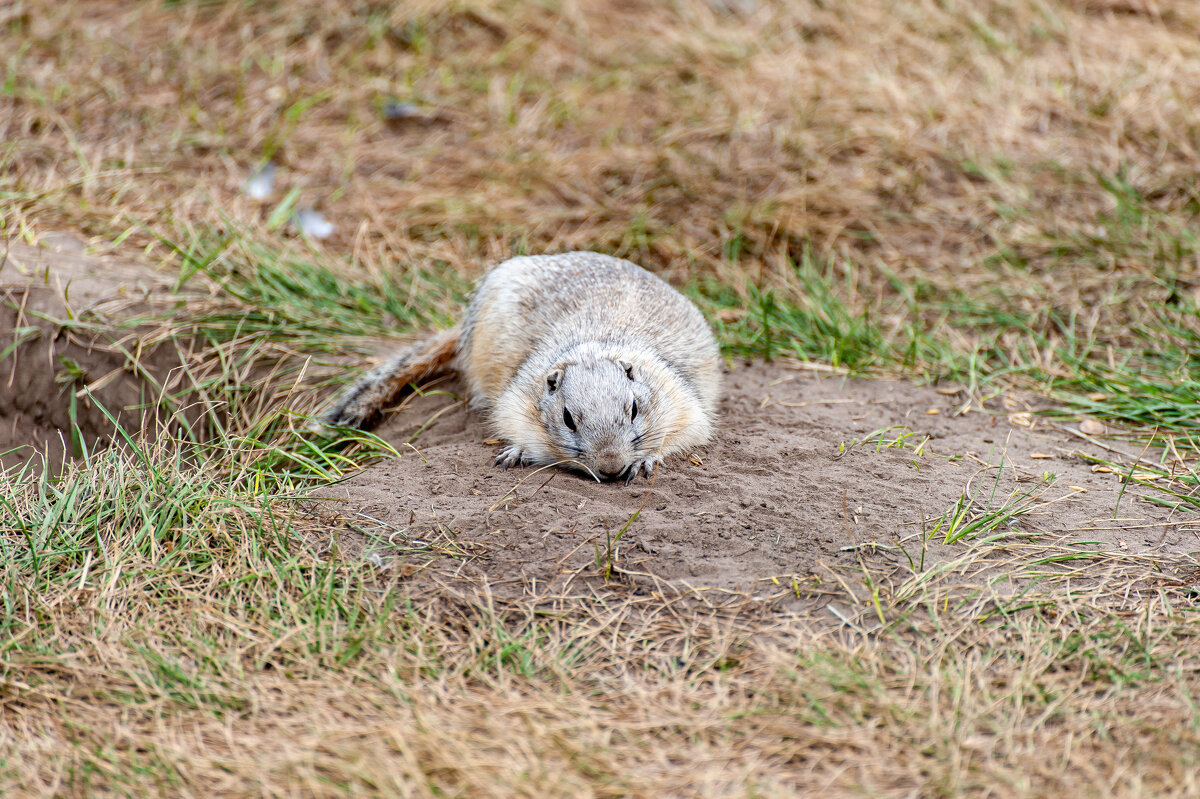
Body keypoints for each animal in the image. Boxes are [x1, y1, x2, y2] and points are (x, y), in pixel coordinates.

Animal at [314, 251, 720, 482]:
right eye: (568, 418)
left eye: (634, 409)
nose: (611, 467)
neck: (594, 346)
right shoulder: (519, 395)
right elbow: (511, 423)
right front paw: (518, 452)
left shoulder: (677, 394)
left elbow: (690, 429)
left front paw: (645, 460)